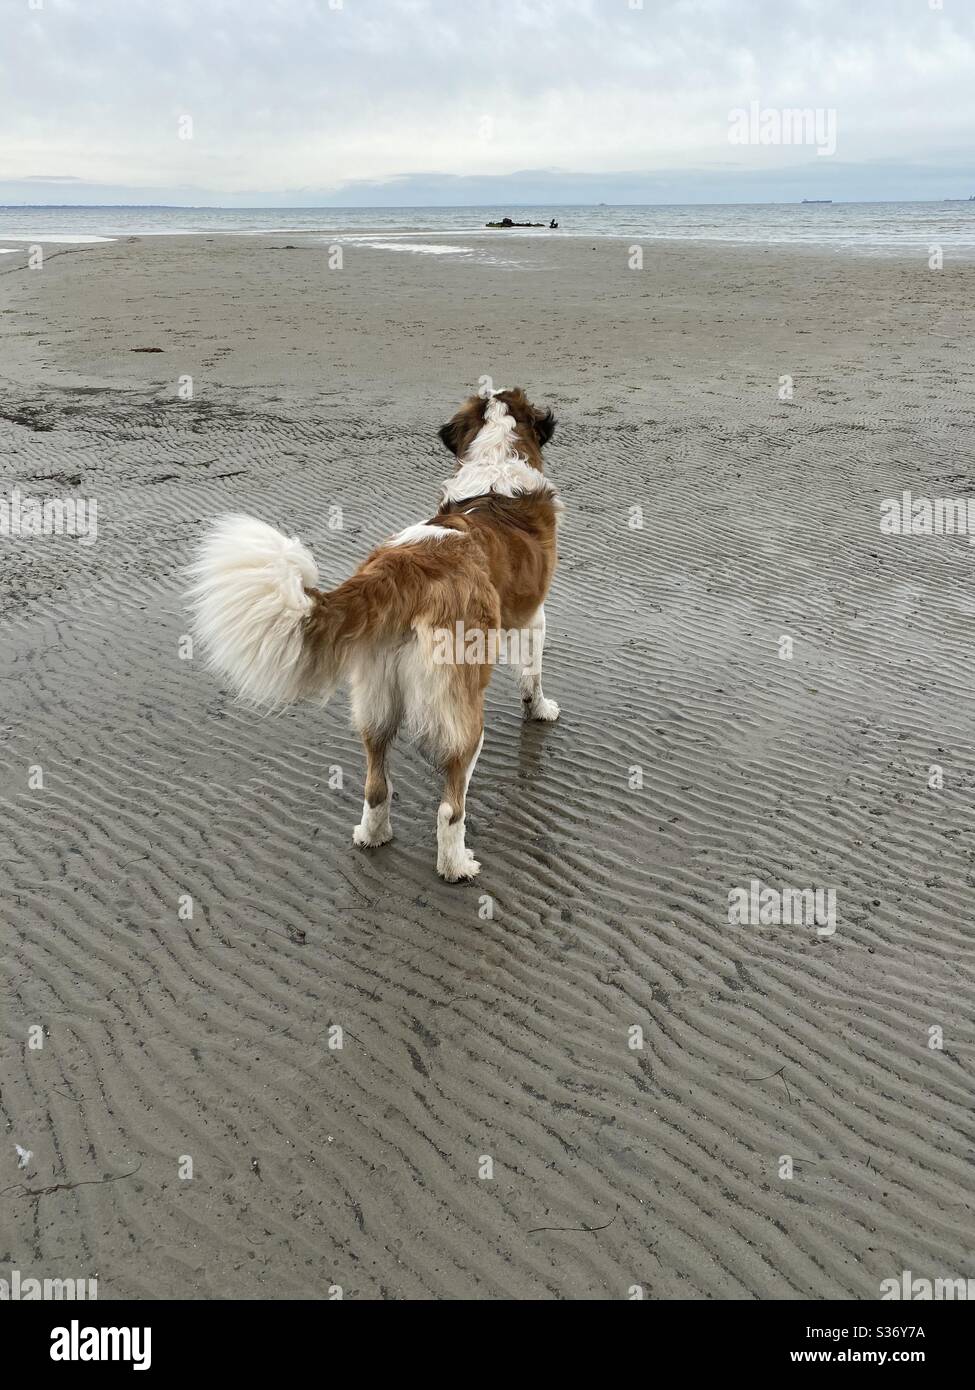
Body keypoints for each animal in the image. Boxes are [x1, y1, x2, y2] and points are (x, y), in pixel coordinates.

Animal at [186, 386, 559, 878]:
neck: (495, 473)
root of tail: (403, 567)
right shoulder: (534, 616)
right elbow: (533, 675)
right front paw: (540, 709)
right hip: (461, 707)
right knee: (450, 804)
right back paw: (456, 865)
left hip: (375, 697)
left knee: (375, 784)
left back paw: (372, 836)